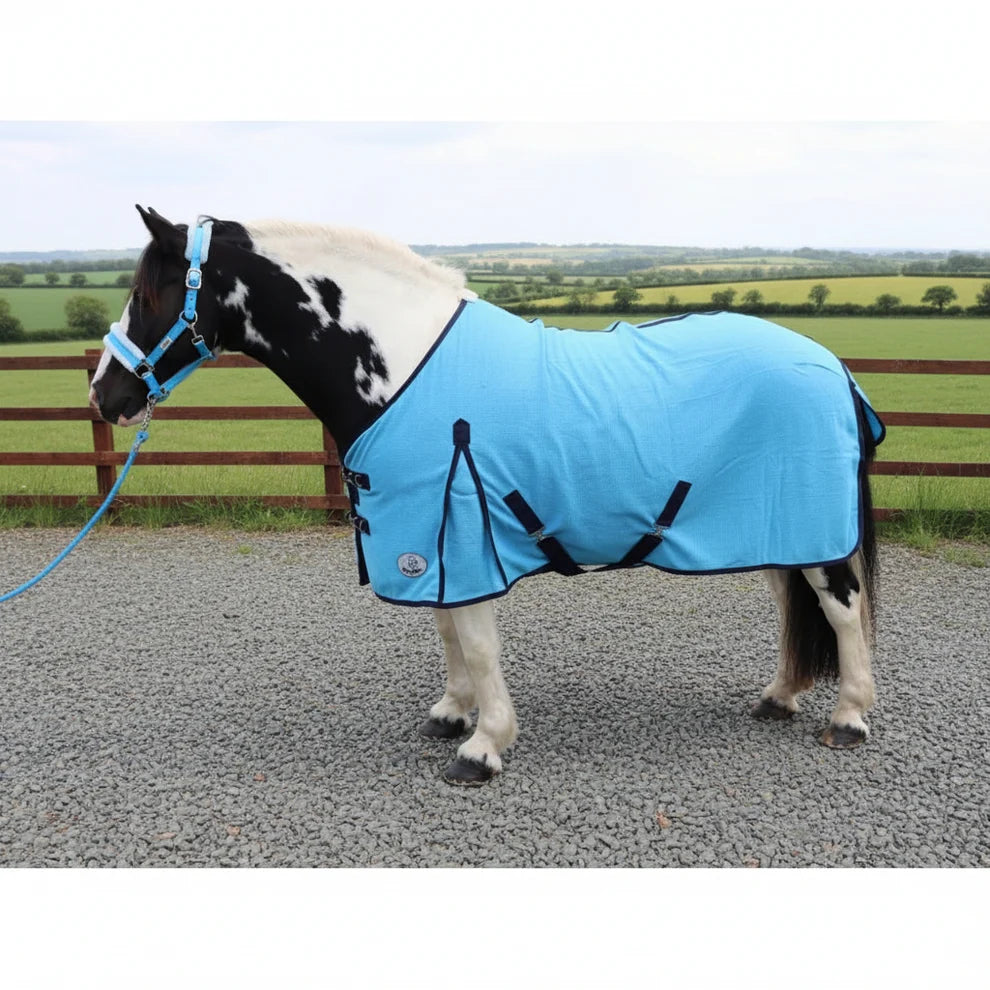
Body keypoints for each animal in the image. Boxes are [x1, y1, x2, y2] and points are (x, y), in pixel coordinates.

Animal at [90, 206, 884, 786]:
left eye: (151, 293)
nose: (104, 395)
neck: (402, 366)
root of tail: (831, 363)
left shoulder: (460, 529)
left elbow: (474, 639)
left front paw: (484, 746)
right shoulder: (428, 541)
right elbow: (447, 631)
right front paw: (452, 713)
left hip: (812, 527)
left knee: (841, 609)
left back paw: (848, 718)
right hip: (775, 526)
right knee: (791, 602)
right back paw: (779, 697)